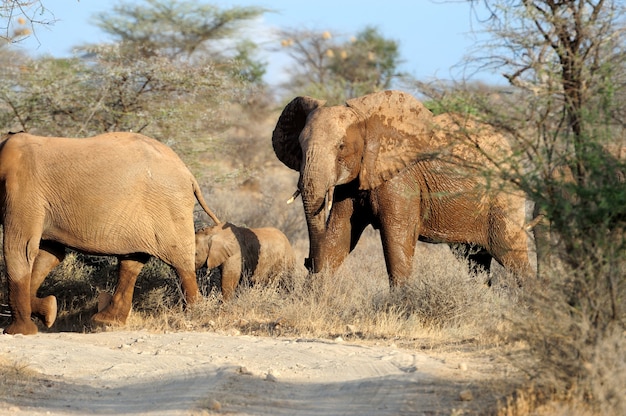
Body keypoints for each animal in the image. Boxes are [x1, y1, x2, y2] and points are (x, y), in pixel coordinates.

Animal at [0, 131, 221, 334]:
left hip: (168, 208)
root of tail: (188, 173)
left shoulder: (23, 190)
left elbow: (20, 249)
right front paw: (48, 311)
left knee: (180, 263)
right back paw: (106, 321)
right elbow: (50, 254)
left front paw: (19, 332)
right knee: (132, 261)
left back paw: (193, 315)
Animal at [270, 90, 532, 286]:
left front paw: (402, 307)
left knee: (510, 254)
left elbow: (396, 235)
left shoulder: (400, 178)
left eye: (341, 146)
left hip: (503, 198)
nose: (307, 261)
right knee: (475, 261)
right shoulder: (354, 179)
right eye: (300, 146)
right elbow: (340, 235)